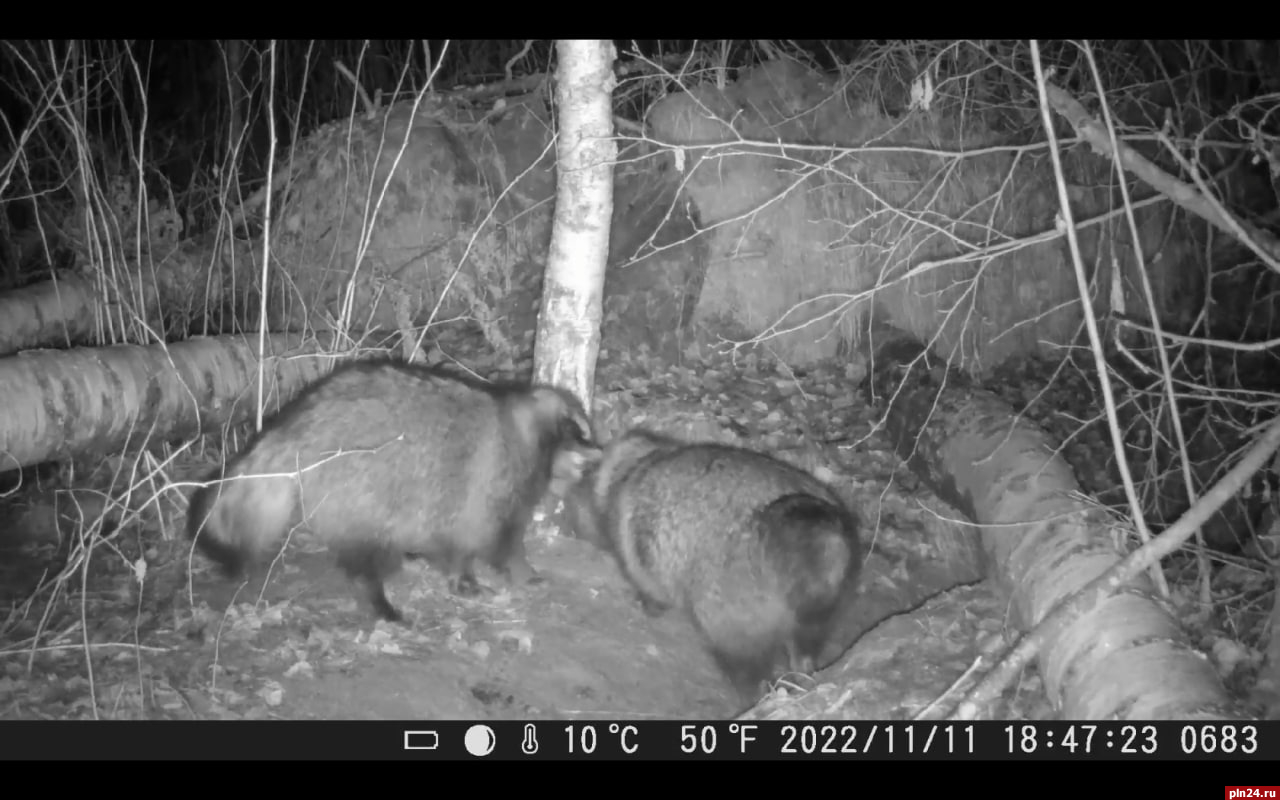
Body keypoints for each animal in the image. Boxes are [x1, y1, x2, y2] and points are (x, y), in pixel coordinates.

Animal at [186, 358, 599, 622]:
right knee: (368, 553)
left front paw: (463, 575)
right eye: (582, 432)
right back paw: (377, 596)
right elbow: (494, 537)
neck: (528, 427)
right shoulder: (496, 477)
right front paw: (520, 570)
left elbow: (457, 541)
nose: (601, 450)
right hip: (358, 488)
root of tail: (294, 425)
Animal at [578, 430, 860, 696]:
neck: (639, 461)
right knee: (808, 639)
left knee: (743, 658)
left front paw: (649, 603)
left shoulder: (633, 537)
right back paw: (803, 669)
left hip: (733, 607)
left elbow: (645, 579)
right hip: (830, 597)